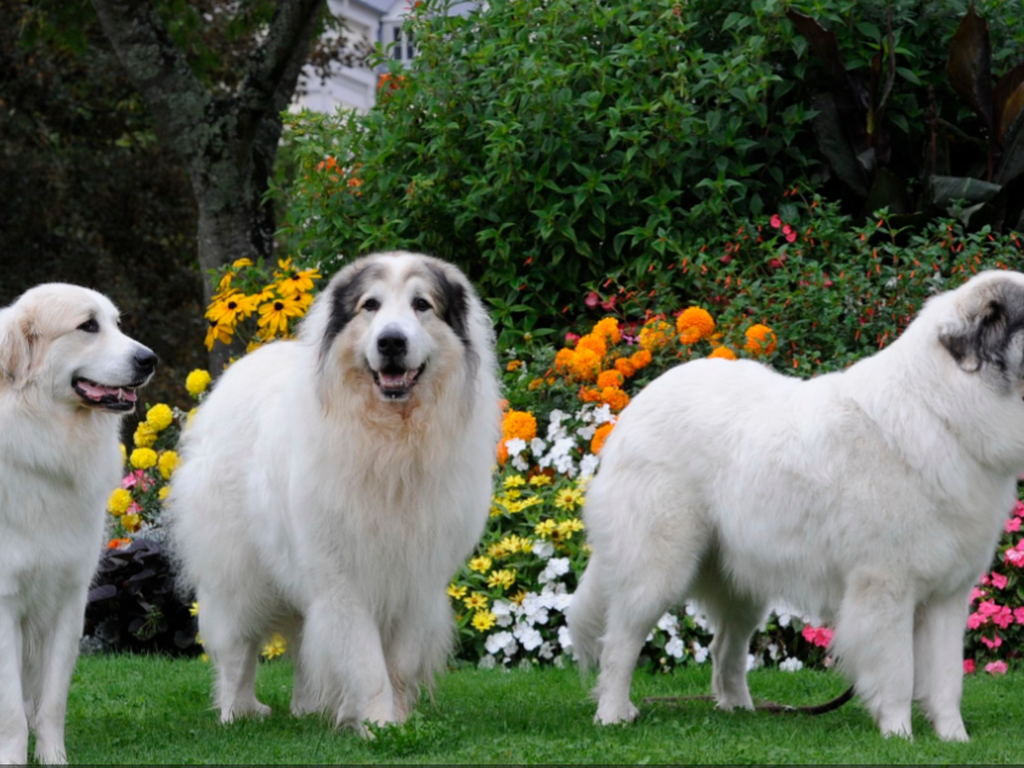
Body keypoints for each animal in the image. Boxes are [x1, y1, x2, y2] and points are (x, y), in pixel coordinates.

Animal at [0, 284, 155, 765]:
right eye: (87, 326)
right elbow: (11, 709)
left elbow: (51, 701)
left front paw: (53, 759)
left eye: (116, 323)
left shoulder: (69, 599)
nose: (150, 359)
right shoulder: (4, 604)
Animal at [573, 268, 1024, 741]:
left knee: (724, 647)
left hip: (743, 583)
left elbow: (947, 680)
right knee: (620, 644)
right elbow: (899, 672)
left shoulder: (948, 596)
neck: (943, 411)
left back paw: (741, 709)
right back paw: (613, 713)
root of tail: (634, 409)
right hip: (656, 569)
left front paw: (954, 738)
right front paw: (899, 734)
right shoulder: (886, 587)